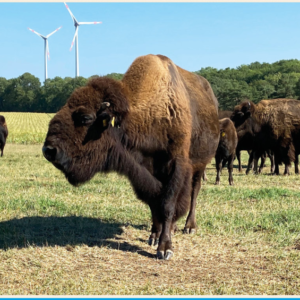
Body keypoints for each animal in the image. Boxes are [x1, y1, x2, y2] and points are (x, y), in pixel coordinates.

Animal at [42, 54, 219, 260]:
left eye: (86, 118)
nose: (49, 150)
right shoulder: (143, 171)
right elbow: (154, 203)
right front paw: (154, 236)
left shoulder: (177, 165)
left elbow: (168, 204)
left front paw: (165, 248)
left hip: (201, 165)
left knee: (194, 192)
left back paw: (189, 226)